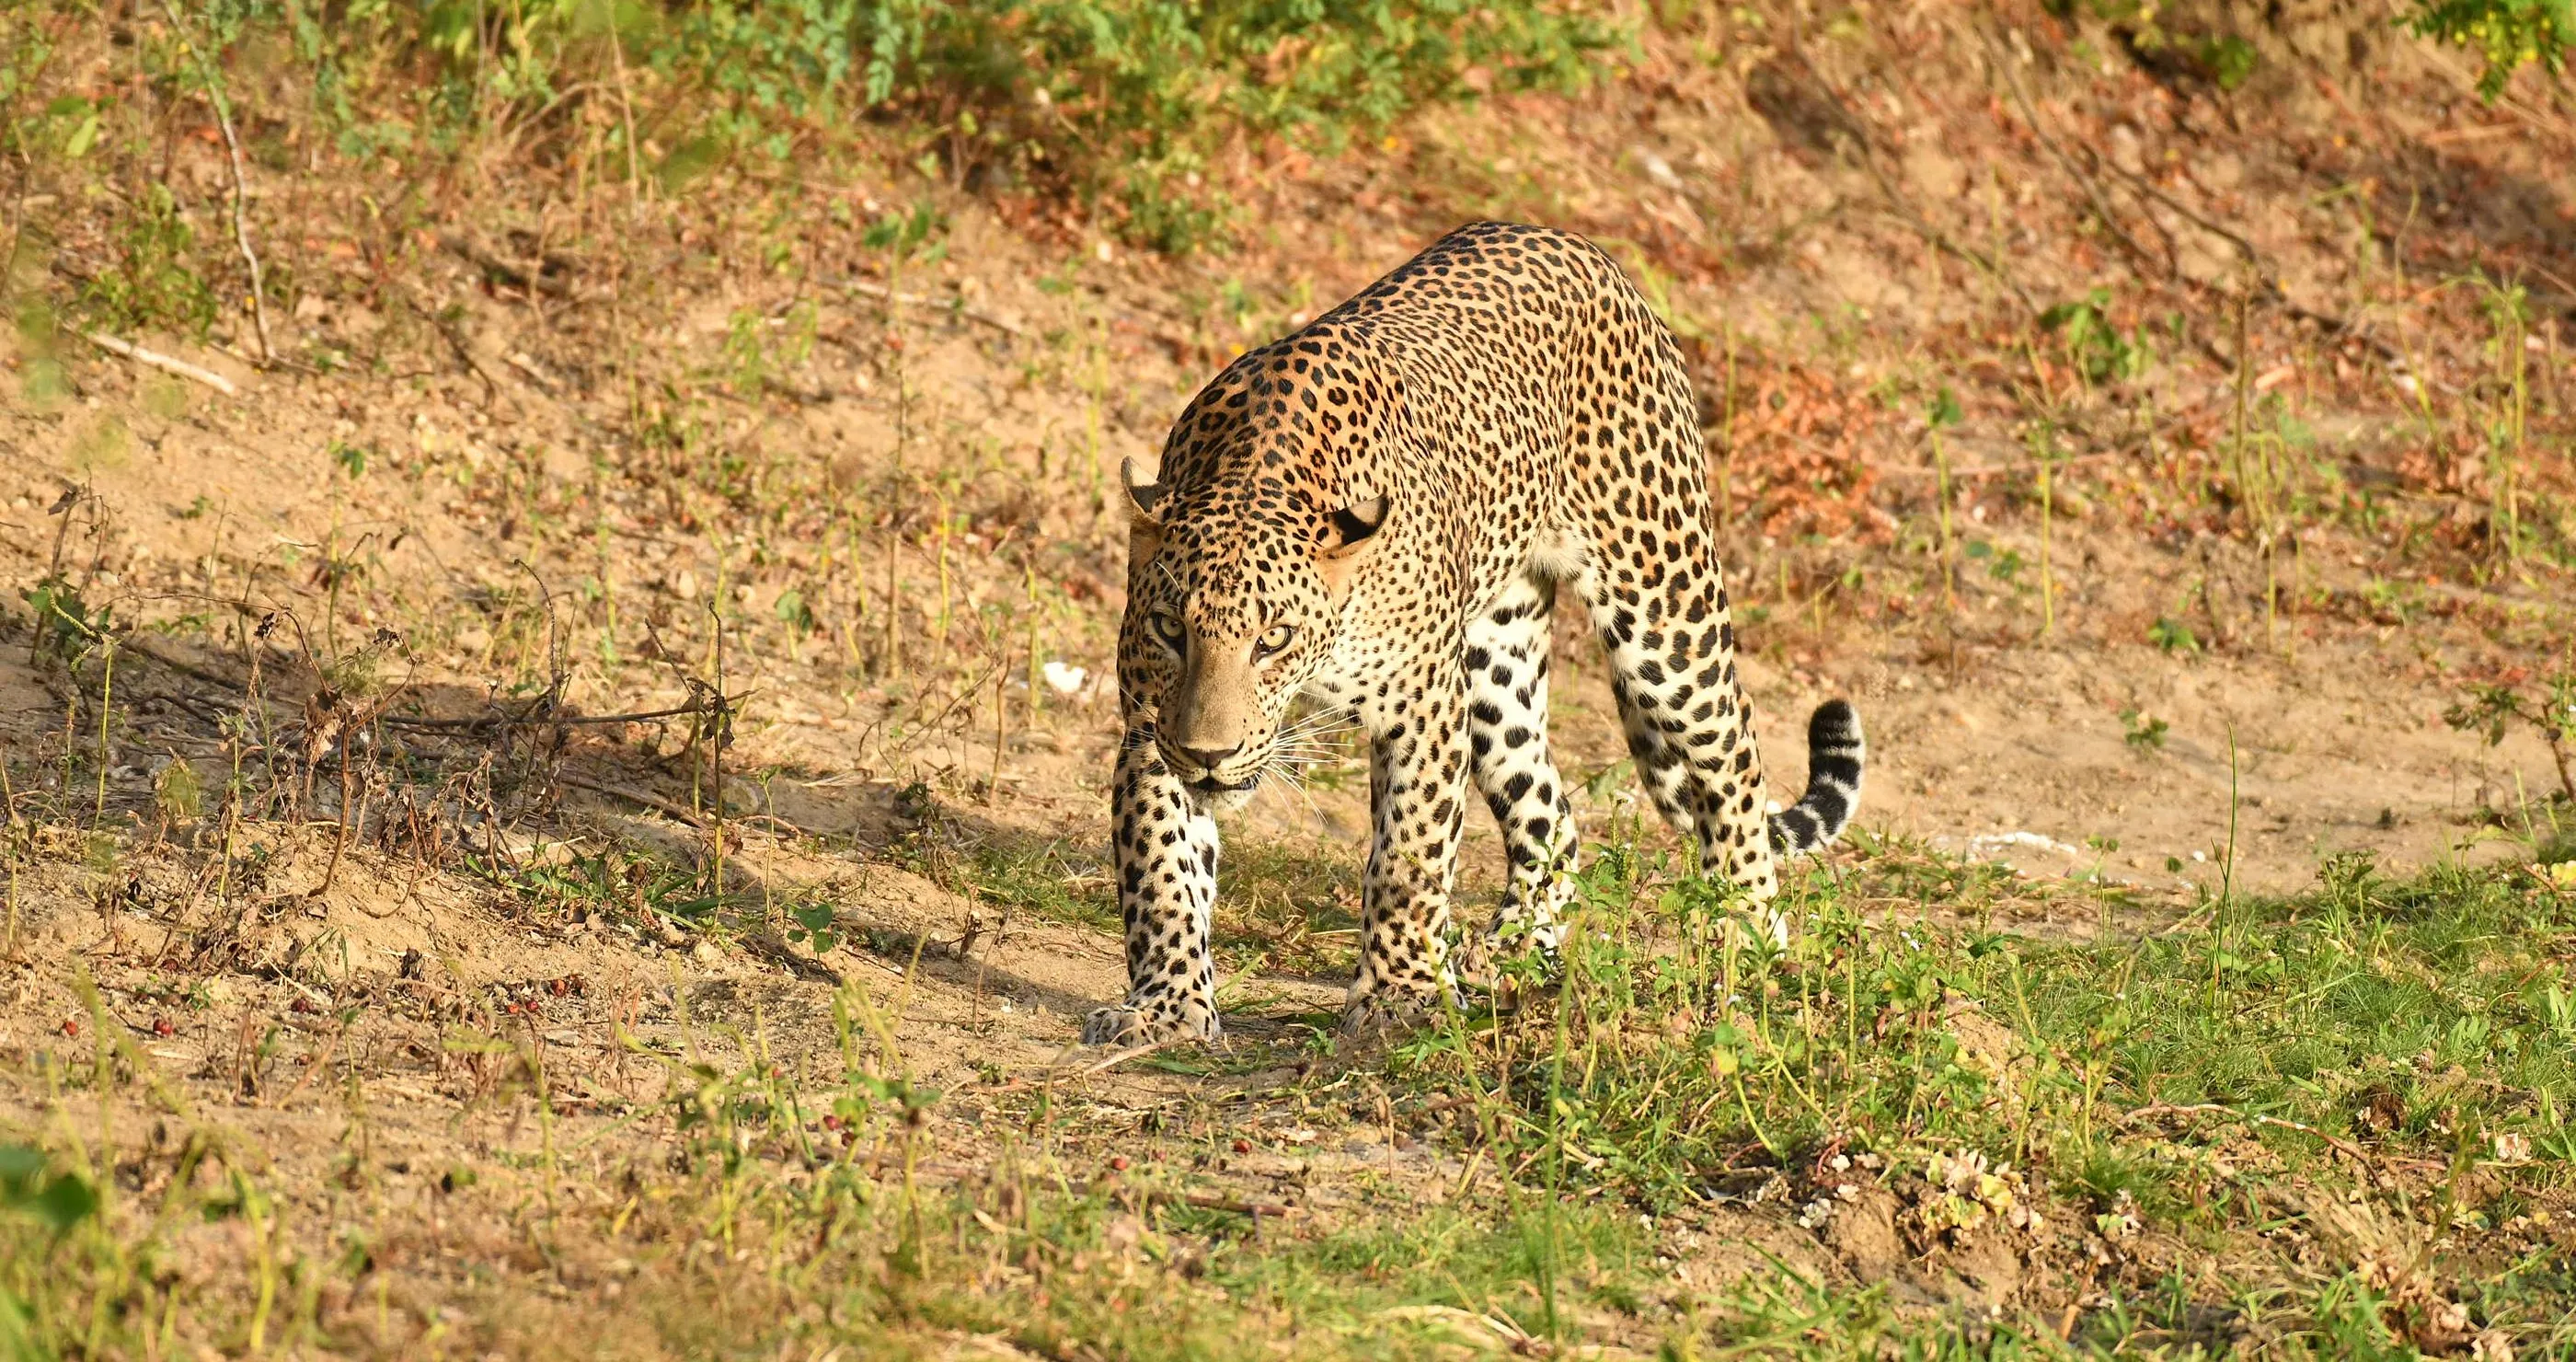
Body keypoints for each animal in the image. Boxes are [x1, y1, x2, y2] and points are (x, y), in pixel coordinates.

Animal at [1083, 221, 1865, 1047]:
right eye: (1170, 629)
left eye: (1275, 638)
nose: (1210, 754)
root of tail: (1572, 242)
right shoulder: (1151, 727)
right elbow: (1163, 872)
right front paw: (1166, 1008)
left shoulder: (1421, 711)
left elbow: (1409, 861)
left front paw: (1400, 997)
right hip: (1495, 665)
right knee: (1553, 811)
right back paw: (1515, 949)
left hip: (1664, 608)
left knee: (1735, 758)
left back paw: (1746, 931)